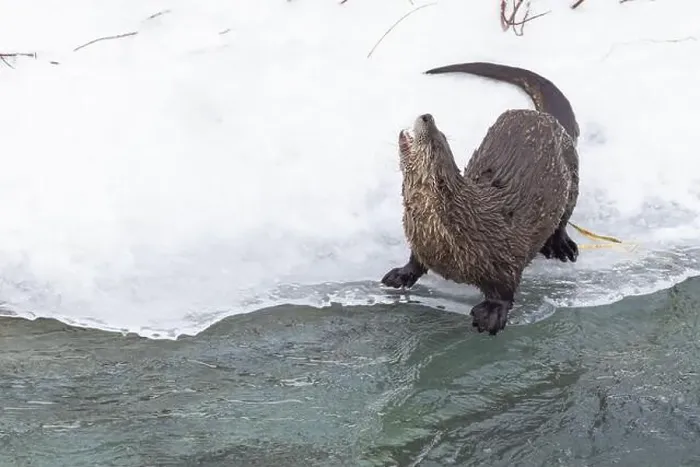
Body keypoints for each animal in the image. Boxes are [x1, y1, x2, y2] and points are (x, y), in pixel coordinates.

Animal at [385, 111, 577, 335]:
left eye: (437, 141)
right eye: (441, 134)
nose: (427, 116)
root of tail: (541, 114)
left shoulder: (504, 256)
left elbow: (505, 289)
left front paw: (491, 314)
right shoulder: (421, 241)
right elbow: (416, 260)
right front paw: (401, 274)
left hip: (572, 174)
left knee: (563, 218)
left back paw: (562, 247)